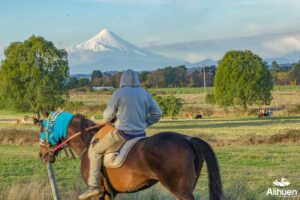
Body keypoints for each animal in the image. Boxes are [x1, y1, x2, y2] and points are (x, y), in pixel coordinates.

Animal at [39, 114, 223, 200]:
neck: (87, 141)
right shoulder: (109, 194)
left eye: (43, 128)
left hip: (181, 191)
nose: (42, 154)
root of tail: (187, 139)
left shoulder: (98, 194)